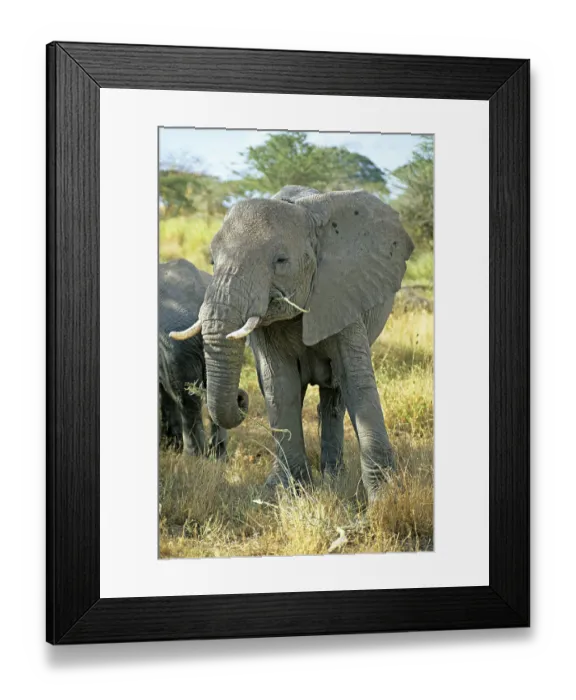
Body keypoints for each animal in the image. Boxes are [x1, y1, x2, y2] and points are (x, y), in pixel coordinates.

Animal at [169, 187, 414, 499]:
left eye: (281, 261)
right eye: (212, 262)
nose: (240, 396)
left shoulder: (341, 294)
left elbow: (357, 381)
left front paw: (386, 498)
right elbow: (279, 384)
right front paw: (285, 492)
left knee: (334, 396)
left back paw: (333, 476)